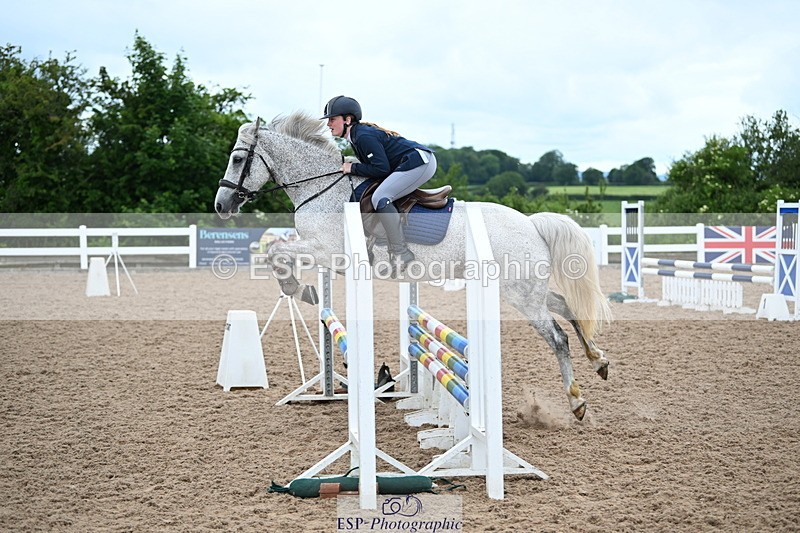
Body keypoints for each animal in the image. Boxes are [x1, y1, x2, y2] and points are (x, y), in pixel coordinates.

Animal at [214, 111, 612, 420]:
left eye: (238, 159)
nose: (221, 205)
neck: (322, 189)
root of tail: (531, 224)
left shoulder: (330, 253)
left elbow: (276, 252)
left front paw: (299, 288)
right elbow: (277, 250)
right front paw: (304, 289)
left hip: (520, 293)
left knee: (557, 337)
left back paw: (577, 401)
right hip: (527, 289)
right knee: (568, 307)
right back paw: (598, 361)